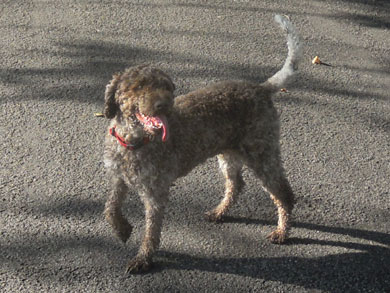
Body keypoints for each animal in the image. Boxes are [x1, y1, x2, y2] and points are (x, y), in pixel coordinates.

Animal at [103, 15, 302, 272]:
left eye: (166, 87)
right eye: (138, 86)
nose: (163, 104)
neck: (135, 140)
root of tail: (261, 88)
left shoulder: (155, 193)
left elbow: (151, 231)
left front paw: (143, 259)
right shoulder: (118, 178)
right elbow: (110, 207)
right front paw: (123, 230)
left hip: (262, 153)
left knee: (283, 193)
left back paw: (282, 232)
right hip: (229, 154)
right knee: (236, 185)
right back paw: (219, 212)